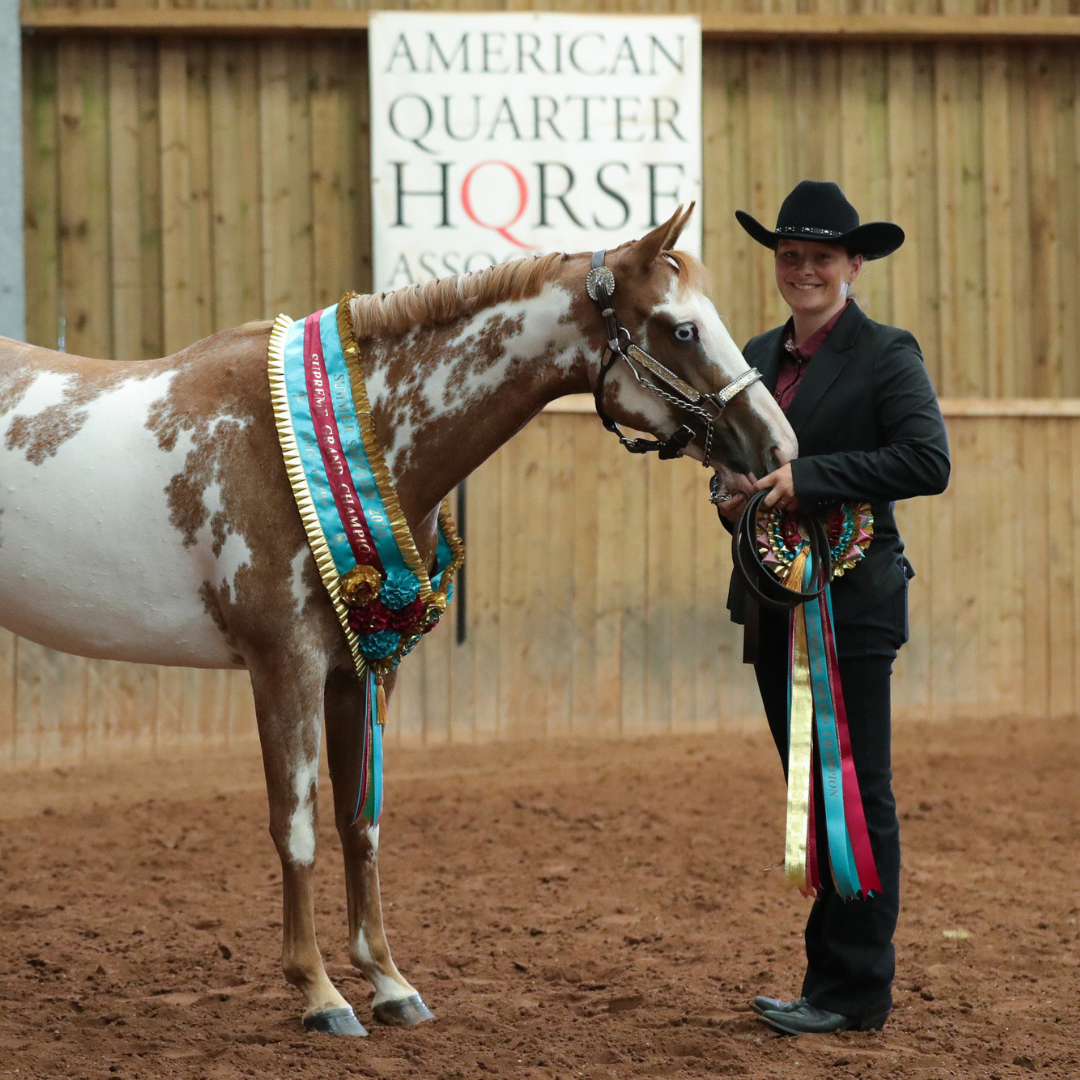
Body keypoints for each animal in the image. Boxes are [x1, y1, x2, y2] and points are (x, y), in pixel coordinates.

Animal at [0, 207, 797, 1036]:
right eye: (681, 329)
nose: (781, 448)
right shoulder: (284, 666)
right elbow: (297, 826)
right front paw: (319, 992)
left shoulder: (360, 669)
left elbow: (361, 824)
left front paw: (386, 981)